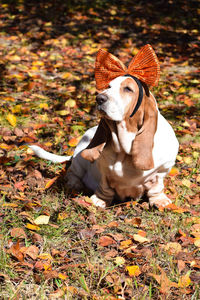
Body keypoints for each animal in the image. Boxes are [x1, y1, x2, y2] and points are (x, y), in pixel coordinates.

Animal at [28, 44, 179, 209]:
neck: (125, 148)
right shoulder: (104, 171)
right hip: (80, 157)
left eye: (128, 89)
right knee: (72, 172)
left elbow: (157, 186)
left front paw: (160, 200)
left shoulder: (163, 169)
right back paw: (75, 184)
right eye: (108, 86)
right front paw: (99, 200)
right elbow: (105, 186)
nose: (99, 98)